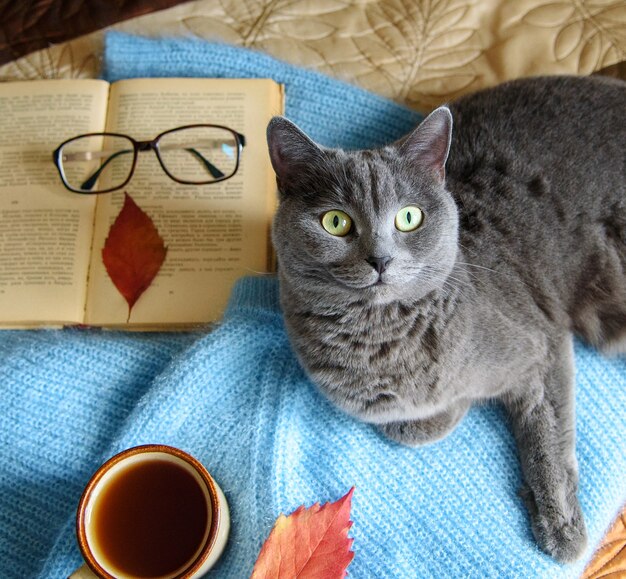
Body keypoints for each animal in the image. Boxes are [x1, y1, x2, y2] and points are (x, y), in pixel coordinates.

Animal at [264, 75, 624, 564]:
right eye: (335, 222)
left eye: (409, 217)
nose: (380, 259)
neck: (380, 340)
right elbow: (408, 427)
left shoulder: (542, 343)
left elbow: (546, 436)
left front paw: (562, 529)